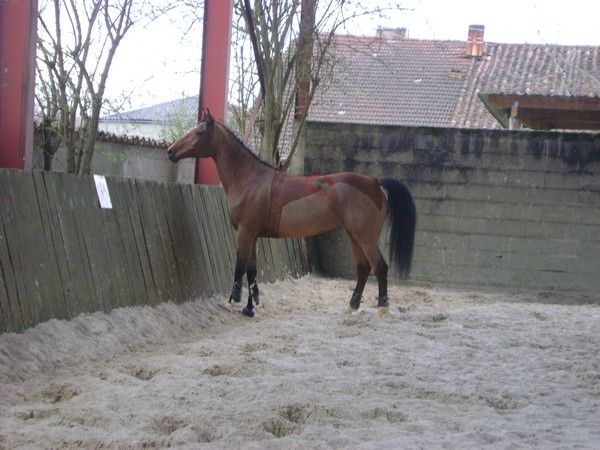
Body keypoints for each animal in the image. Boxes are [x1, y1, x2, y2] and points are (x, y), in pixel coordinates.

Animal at [167, 110, 416, 318]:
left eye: (199, 132)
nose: (171, 151)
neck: (250, 179)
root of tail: (374, 182)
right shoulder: (254, 236)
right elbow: (252, 272)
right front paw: (250, 308)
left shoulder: (245, 233)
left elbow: (240, 268)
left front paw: (234, 302)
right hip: (353, 235)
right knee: (363, 267)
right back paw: (352, 305)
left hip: (365, 237)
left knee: (380, 267)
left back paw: (382, 308)